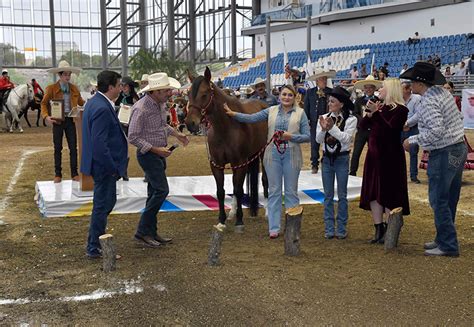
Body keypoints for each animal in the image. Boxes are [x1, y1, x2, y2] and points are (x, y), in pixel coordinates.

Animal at [185, 67, 268, 231]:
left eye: (204, 94)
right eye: (188, 94)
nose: (190, 123)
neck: (225, 128)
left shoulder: (239, 163)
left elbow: (238, 190)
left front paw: (239, 221)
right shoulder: (217, 165)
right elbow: (221, 192)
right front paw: (222, 220)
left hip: (264, 153)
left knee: (264, 180)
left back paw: (268, 212)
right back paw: (232, 214)